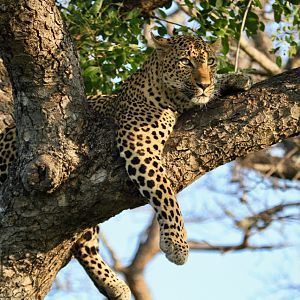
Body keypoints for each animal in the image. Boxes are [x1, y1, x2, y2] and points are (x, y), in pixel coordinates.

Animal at [0, 34, 251, 298]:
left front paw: (233, 79)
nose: (203, 84)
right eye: (185, 61)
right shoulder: (139, 145)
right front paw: (177, 243)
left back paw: (113, 284)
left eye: (210, 61)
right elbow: (166, 194)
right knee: (84, 242)